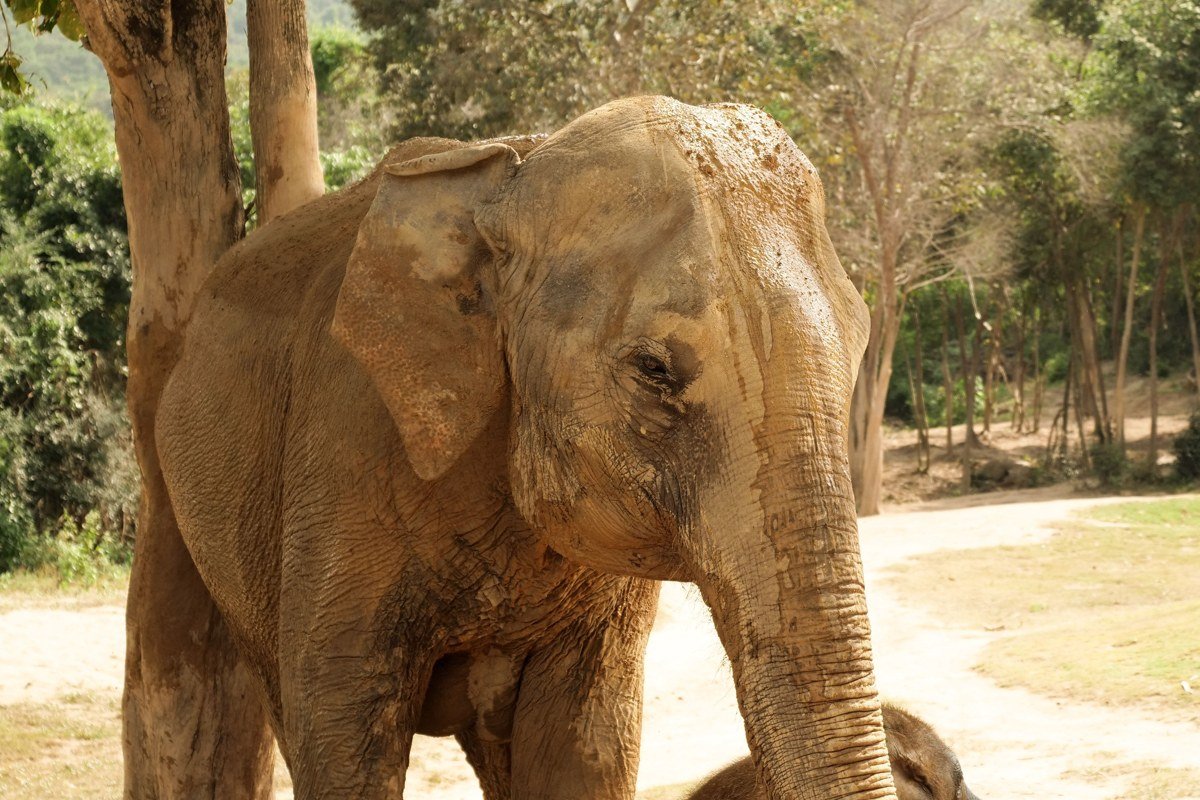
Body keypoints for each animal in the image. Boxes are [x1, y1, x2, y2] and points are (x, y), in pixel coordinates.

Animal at [154, 95, 888, 800]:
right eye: (654, 368)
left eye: (860, 343)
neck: (510, 177)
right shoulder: (342, 443)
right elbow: (341, 735)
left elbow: (584, 751)